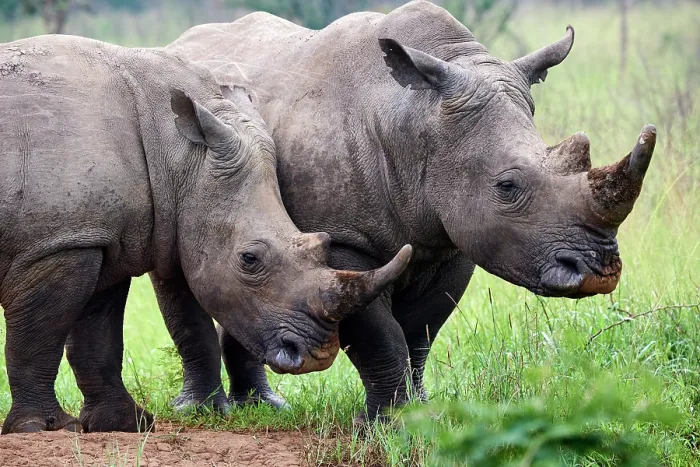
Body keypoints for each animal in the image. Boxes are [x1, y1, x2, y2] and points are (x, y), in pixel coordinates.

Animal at [0, 35, 412, 434]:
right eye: (250, 259)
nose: (315, 356)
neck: (175, 153)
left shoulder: (100, 237)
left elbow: (98, 336)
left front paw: (125, 425)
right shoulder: (57, 242)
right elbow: (40, 335)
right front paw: (42, 428)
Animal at [165, 1, 657, 420]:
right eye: (507, 186)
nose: (599, 271)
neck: (415, 119)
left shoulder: (451, 237)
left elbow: (421, 330)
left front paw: (420, 413)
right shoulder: (340, 242)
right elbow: (380, 334)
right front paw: (388, 424)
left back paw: (264, 406)